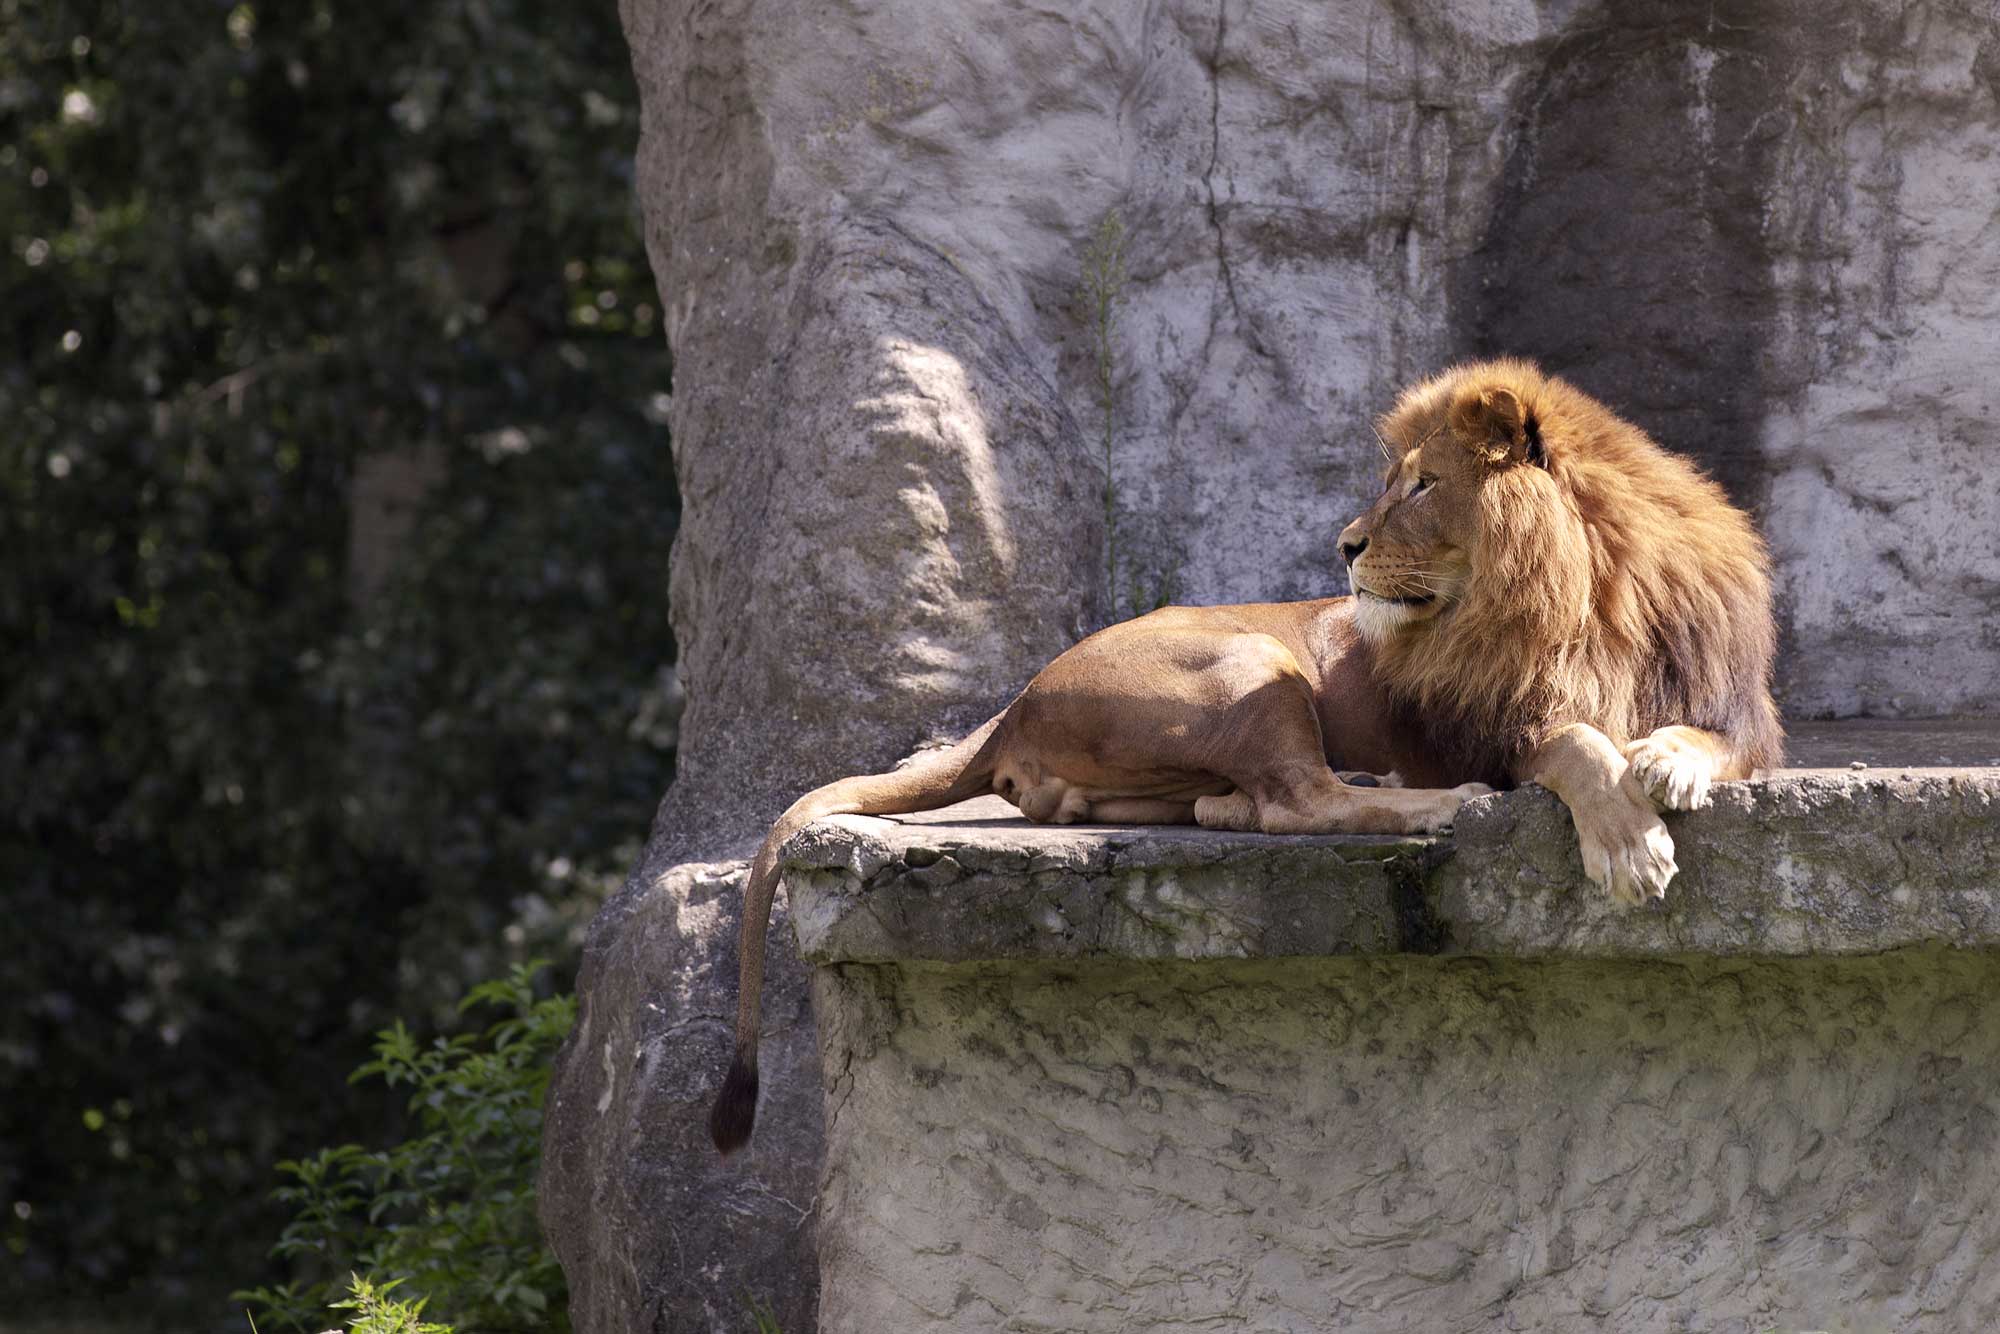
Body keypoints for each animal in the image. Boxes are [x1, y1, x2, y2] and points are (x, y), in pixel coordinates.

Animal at [708, 358, 1784, 1160]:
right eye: (1395, 479)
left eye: (1422, 483)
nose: (1345, 544)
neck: (1585, 592)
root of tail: (1014, 703)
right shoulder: (1498, 728)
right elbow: (1576, 743)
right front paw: (1630, 846)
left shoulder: (1733, 704)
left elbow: (1701, 738)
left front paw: (1669, 765)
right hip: (1255, 657)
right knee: (1295, 800)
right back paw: (1436, 803)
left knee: (1236, 804)